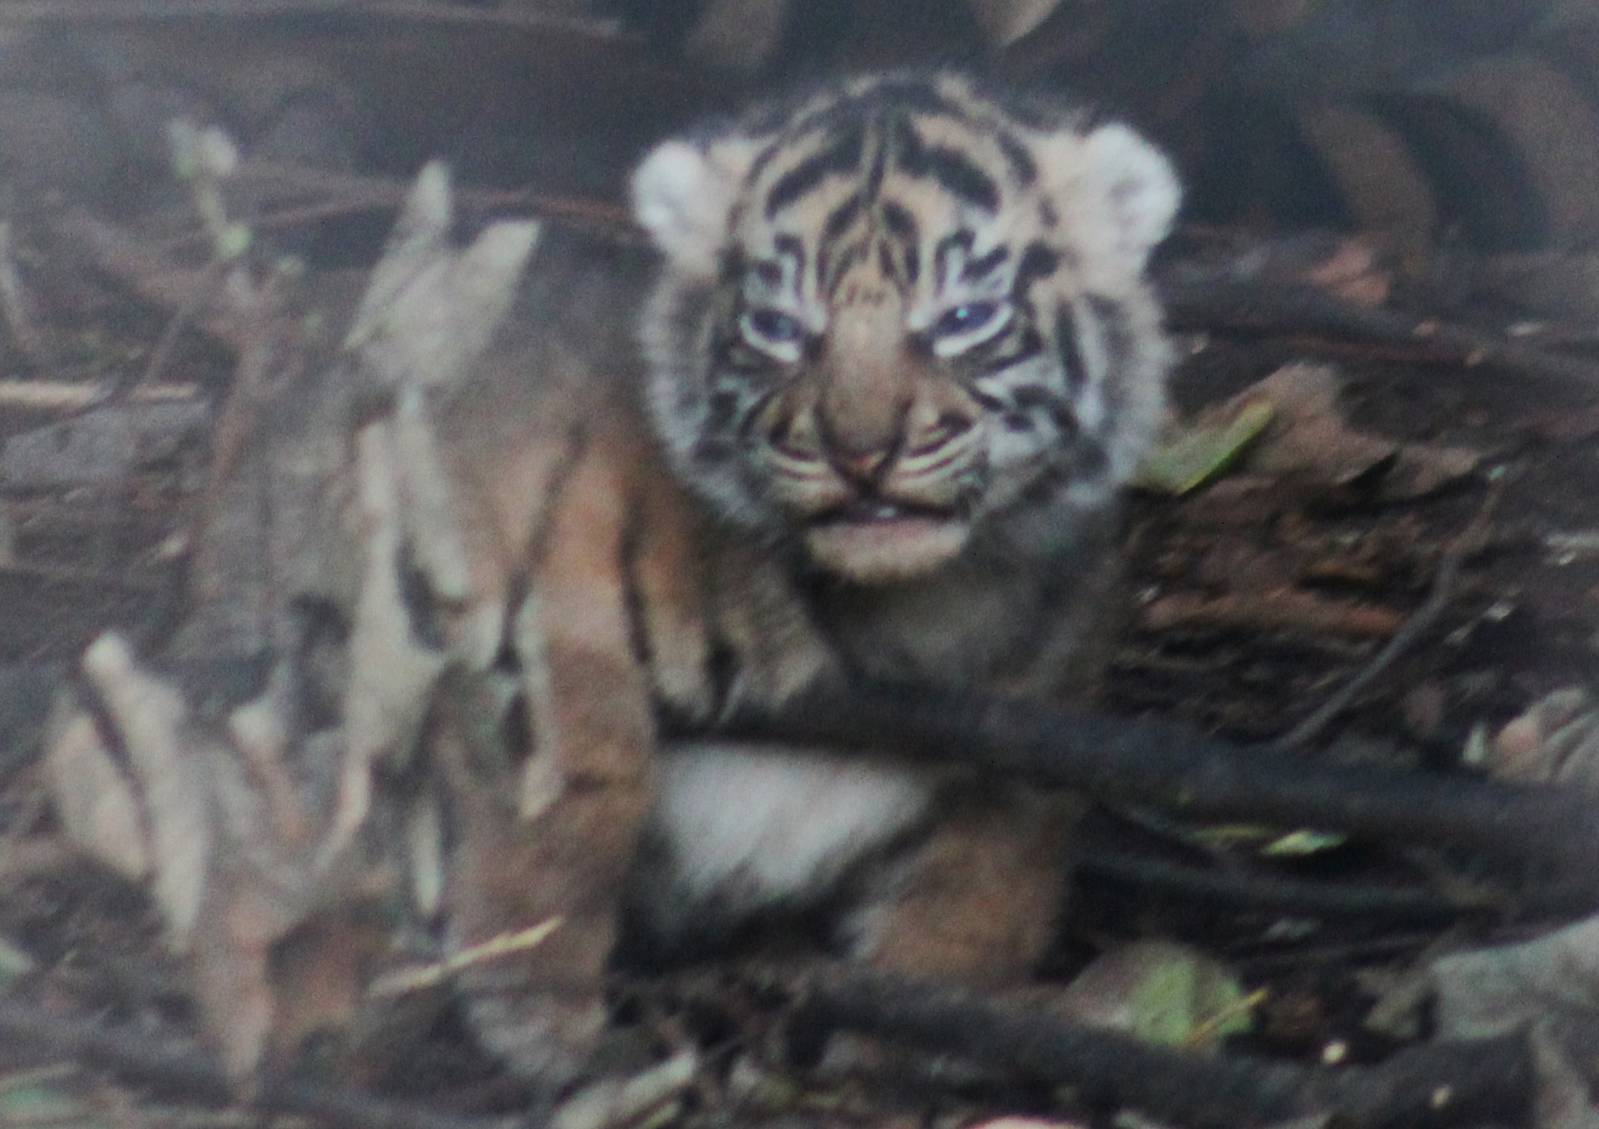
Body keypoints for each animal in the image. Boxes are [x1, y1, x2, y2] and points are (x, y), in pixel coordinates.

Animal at [430, 70, 1180, 1085]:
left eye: (961, 319)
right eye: (781, 328)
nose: (860, 451)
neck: (907, 608)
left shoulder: (1033, 735)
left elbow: (981, 889)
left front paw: (908, 1033)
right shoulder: (526, 570)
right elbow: (575, 777)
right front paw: (538, 1014)